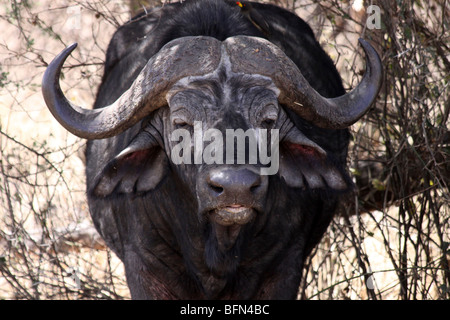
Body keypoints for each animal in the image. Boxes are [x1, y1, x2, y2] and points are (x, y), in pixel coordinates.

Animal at [42, 0, 382, 300]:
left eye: (269, 119)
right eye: (181, 122)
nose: (235, 188)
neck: (218, 246)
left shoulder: (285, 265)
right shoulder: (144, 266)